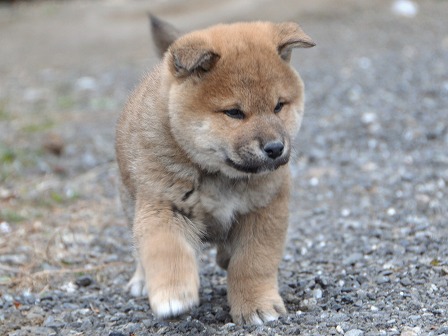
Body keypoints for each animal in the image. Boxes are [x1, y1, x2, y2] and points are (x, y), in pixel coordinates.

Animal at [115, 16, 316, 326]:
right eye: (234, 112)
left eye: (279, 106)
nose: (275, 148)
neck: (221, 177)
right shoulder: (164, 206)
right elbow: (166, 249)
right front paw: (173, 294)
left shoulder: (265, 209)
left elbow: (253, 263)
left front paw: (257, 305)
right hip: (129, 200)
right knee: (139, 250)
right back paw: (141, 280)